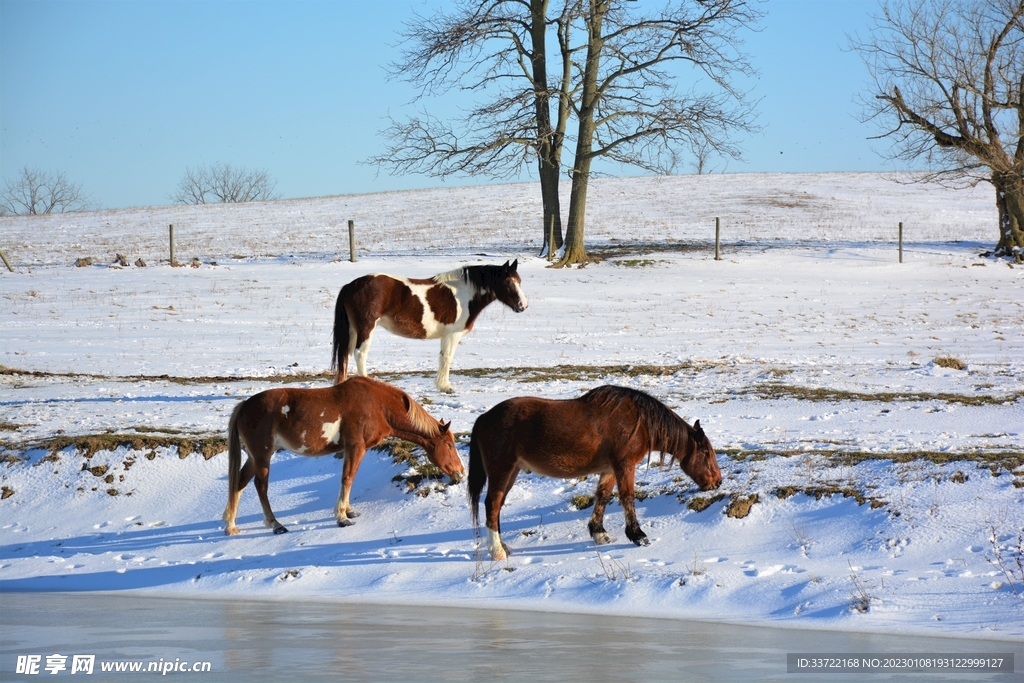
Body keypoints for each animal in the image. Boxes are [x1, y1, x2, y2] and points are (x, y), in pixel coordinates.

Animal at [222, 376, 463, 535]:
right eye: (449, 445)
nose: (461, 472)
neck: (378, 405)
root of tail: (244, 406)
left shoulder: (353, 449)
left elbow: (349, 478)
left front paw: (348, 511)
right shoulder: (356, 447)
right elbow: (347, 478)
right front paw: (342, 517)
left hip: (255, 457)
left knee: (239, 482)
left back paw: (231, 525)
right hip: (263, 455)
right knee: (260, 486)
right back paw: (275, 524)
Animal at [331, 260, 528, 393]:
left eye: (519, 281)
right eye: (508, 282)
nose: (523, 305)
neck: (462, 294)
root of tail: (351, 285)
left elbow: (442, 357)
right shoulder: (451, 334)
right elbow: (447, 358)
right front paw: (446, 387)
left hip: (353, 330)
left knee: (346, 355)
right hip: (366, 328)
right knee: (359, 354)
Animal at [468, 385, 722, 560]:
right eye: (706, 453)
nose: (717, 482)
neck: (637, 423)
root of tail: (484, 417)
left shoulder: (609, 469)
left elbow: (602, 497)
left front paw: (599, 533)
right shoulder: (624, 465)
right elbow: (627, 498)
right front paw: (638, 536)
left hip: (512, 471)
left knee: (497, 507)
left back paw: (503, 546)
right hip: (502, 470)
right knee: (492, 504)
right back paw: (497, 551)